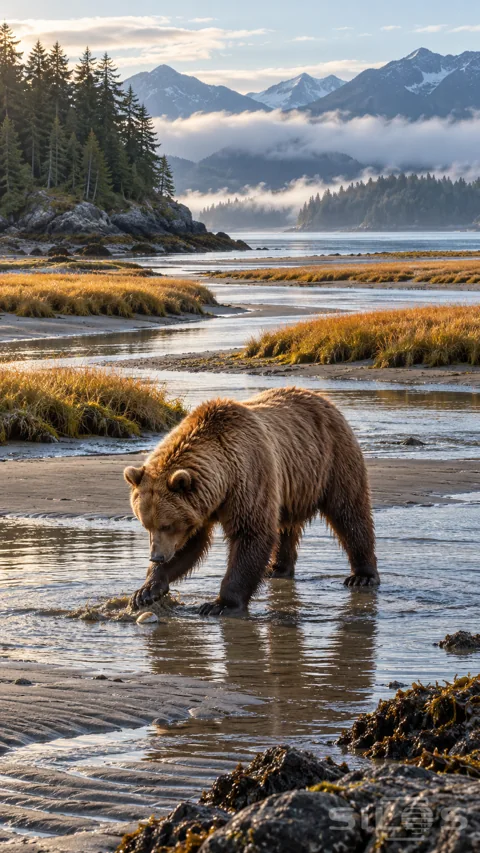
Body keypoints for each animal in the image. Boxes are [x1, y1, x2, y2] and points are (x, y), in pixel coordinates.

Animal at [124, 387, 379, 616]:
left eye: (167, 525)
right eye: (146, 525)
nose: (156, 556)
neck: (223, 481)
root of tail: (322, 398)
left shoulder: (248, 478)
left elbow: (251, 534)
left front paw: (220, 604)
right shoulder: (200, 507)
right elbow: (190, 544)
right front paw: (146, 591)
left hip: (333, 460)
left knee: (349, 513)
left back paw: (362, 576)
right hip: (291, 487)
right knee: (286, 527)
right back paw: (277, 569)